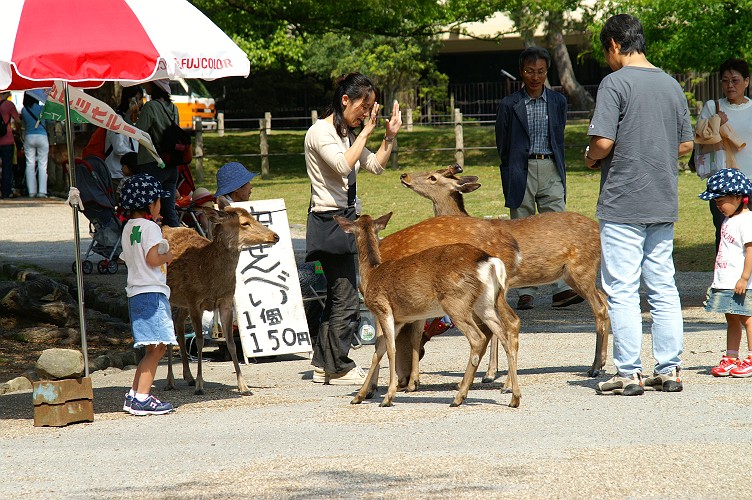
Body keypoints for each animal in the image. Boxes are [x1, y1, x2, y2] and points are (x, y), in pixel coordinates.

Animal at [163, 206, 280, 394]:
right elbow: (200, 341)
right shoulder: (195, 301)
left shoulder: (225, 301)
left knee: (178, 324)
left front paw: (244, 386)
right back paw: (170, 381)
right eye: (244, 223)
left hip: (183, 303)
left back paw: (188, 377)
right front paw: (200, 385)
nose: (275, 236)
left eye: (253, 217)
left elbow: (231, 343)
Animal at [336, 213, 524, 408]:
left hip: (456, 302)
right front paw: (359, 396)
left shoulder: (382, 308)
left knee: (478, 338)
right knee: (505, 334)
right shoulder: (399, 319)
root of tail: (490, 262)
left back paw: (459, 396)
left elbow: (390, 349)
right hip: (486, 303)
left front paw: (387, 397)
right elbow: (378, 351)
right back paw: (514, 397)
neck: (371, 273)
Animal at [400, 164, 612, 382]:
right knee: (605, 299)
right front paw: (491, 371)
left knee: (599, 308)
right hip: (573, 274)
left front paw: (491, 373)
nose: (404, 175)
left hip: (582, 268)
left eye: (432, 177)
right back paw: (602, 362)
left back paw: (595, 367)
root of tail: (597, 228)